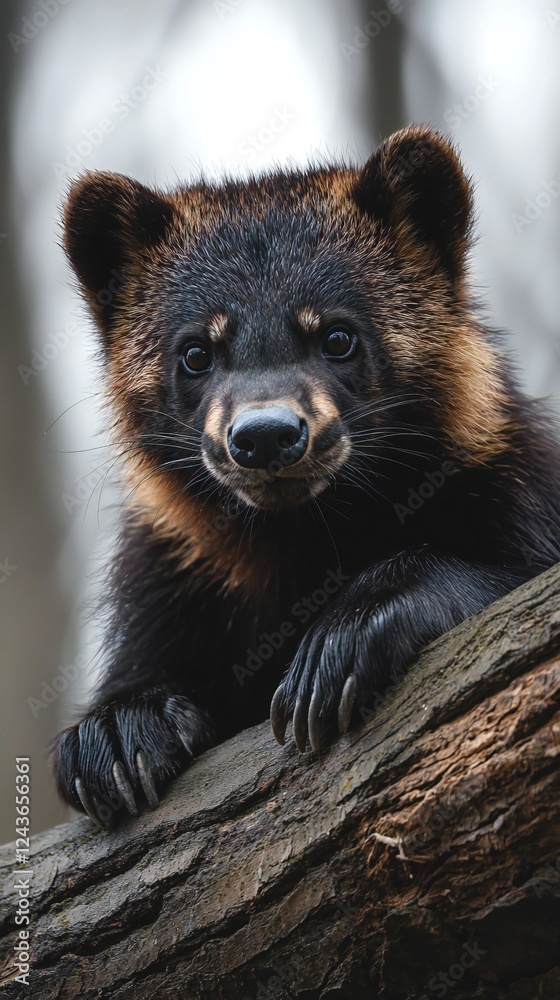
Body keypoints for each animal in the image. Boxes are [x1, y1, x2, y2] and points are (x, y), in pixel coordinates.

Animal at [51, 125, 560, 828]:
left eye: (338, 335)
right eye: (195, 352)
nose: (266, 435)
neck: (309, 544)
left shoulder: (518, 488)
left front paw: (343, 642)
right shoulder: (165, 580)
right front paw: (120, 729)